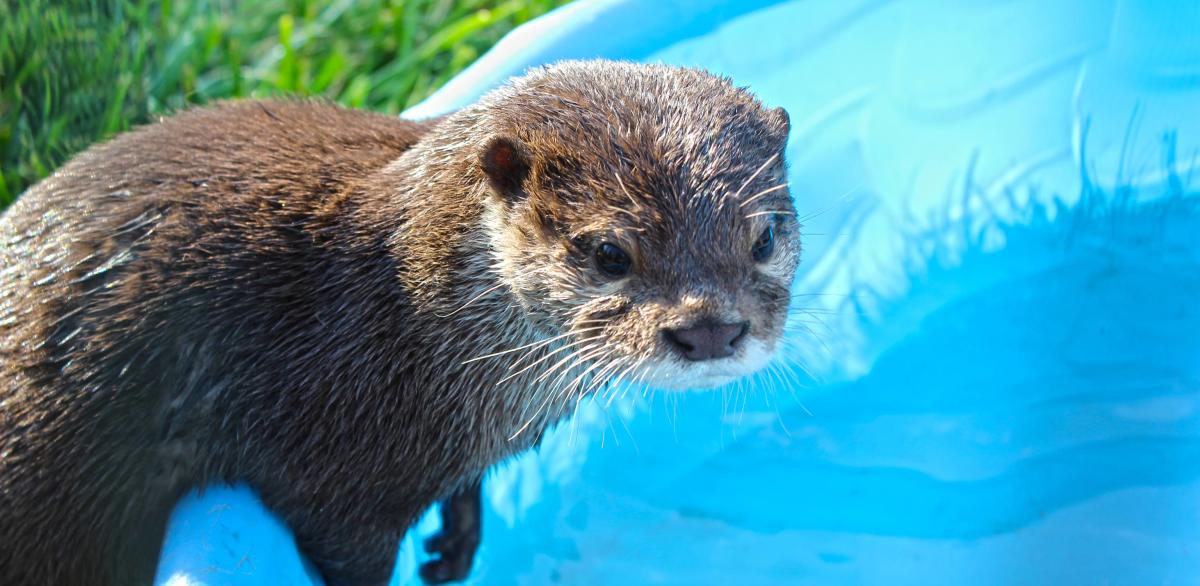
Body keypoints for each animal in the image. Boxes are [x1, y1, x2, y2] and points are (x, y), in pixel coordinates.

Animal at [0, 60, 798, 585]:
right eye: (608, 253)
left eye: (763, 237)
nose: (710, 329)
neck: (401, 312)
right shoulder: (327, 482)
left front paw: (457, 541)